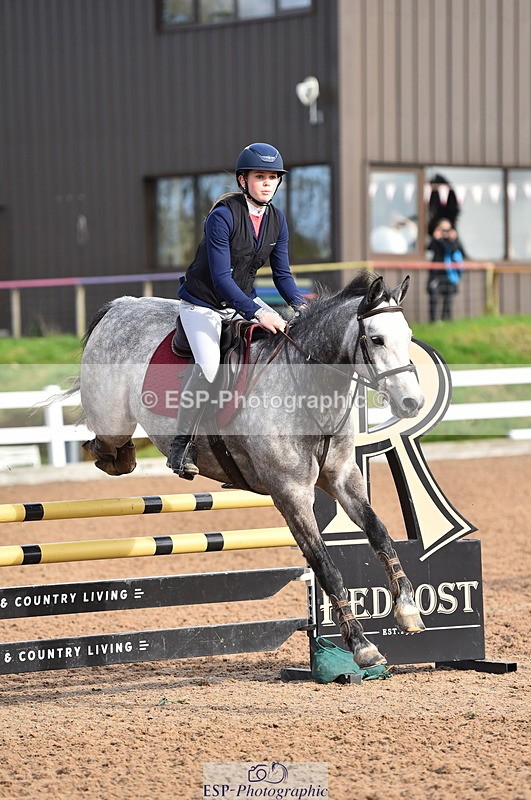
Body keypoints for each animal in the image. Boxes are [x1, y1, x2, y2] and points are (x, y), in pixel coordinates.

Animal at [77, 272, 426, 669]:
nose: (412, 403)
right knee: (107, 444)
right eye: (377, 339)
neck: (310, 391)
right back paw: (125, 455)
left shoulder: (342, 478)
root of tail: (121, 306)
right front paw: (362, 645)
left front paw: (408, 610)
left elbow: (380, 533)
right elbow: (325, 565)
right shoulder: (290, 493)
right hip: (113, 422)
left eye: (408, 335)